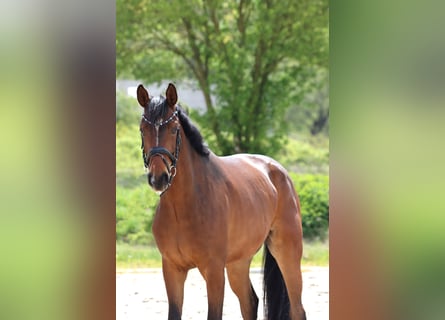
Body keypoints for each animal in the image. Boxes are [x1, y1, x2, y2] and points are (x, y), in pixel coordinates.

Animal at [137, 83, 306, 320]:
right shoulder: (172, 269)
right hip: (238, 263)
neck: (185, 205)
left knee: (297, 309)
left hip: (287, 252)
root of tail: (278, 171)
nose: (158, 178)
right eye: (143, 129)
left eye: (173, 129)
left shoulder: (214, 270)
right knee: (250, 302)